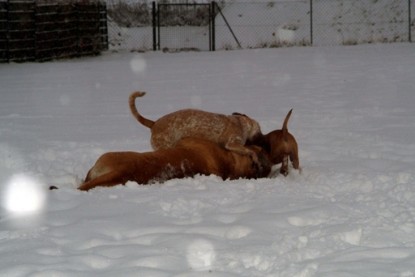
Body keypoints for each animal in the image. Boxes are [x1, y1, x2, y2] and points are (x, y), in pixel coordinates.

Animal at [130, 91, 262, 164]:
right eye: (259, 130)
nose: (261, 137)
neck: (240, 122)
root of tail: (154, 123)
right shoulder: (233, 143)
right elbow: (248, 150)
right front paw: (255, 157)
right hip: (165, 147)